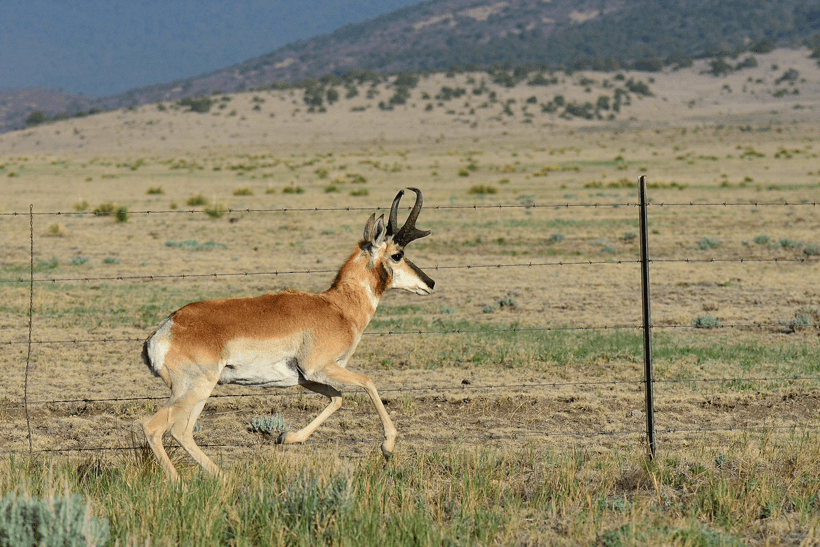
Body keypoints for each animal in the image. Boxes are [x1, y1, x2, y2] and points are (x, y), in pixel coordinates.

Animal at [141, 188, 435, 482]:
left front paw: (286, 437)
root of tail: (168, 327)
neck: (337, 308)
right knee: (155, 427)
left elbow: (337, 398)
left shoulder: (306, 378)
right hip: (194, 389)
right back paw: (179, 482)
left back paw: (224, 477)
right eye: (397, 254)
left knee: (182, 431)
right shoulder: (321, 368)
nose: (430, 283)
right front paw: (387, 447)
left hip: (199, 392)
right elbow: (368, 382)